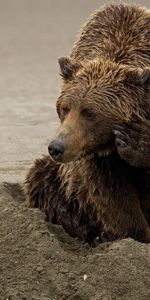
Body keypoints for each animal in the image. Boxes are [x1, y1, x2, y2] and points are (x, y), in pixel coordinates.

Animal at [24, 3, 150, 245]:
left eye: (89, 112)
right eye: (65, 108)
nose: (57, 147)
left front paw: (135, 139)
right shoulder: (95, 155)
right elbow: (110, 192)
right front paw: (132, 234)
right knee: (42, 178)